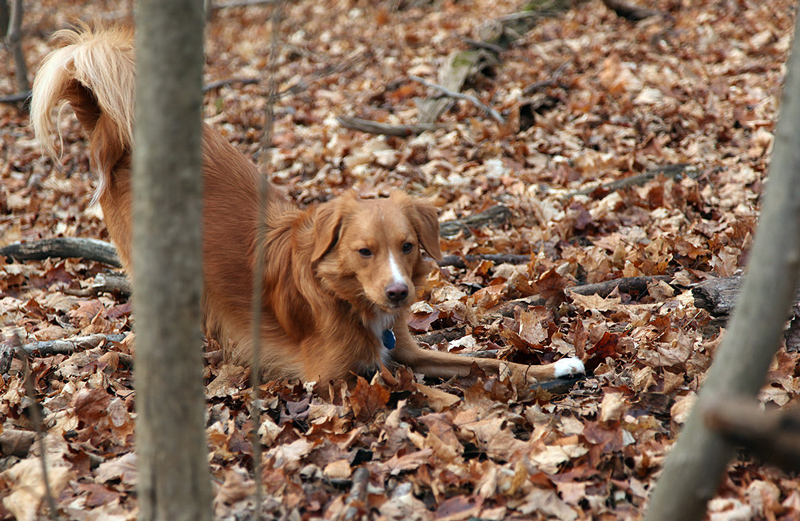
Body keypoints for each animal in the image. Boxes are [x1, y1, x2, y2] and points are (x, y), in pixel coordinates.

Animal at [31, 25, 584, 386]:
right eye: (364, 251)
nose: (399, 292)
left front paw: (556, 366)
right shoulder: (329, 377)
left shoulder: (406, 348)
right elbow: (405, 388)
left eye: (407, 246)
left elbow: (485, 362)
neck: (346, 297)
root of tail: (121, 138)